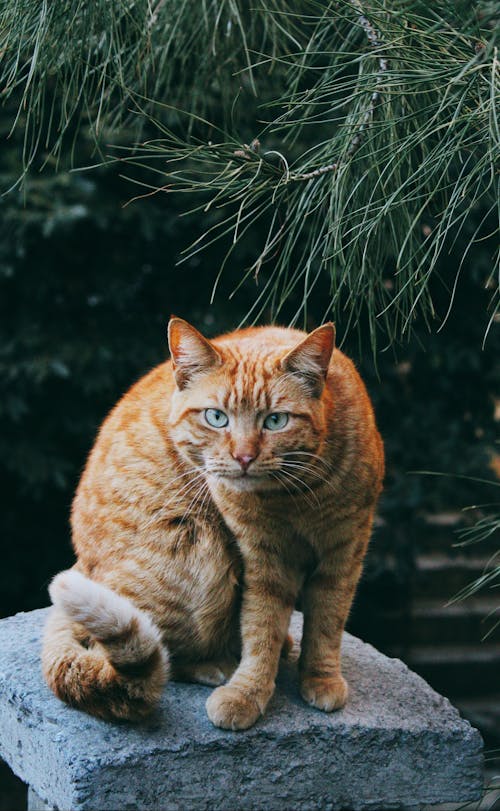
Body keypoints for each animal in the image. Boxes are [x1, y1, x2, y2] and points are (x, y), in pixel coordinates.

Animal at [44, 318, 386, 728]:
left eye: (275, 420)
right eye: (216, 417)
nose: (243, 456)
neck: (294, 496)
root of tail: (82, 563)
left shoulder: (346, 550)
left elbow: (328, 622)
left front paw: (321, 677)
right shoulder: (263, 560)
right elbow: (261, 628)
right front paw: (248, 691)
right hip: (201, 549)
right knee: (139, 652)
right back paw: (216, 665)